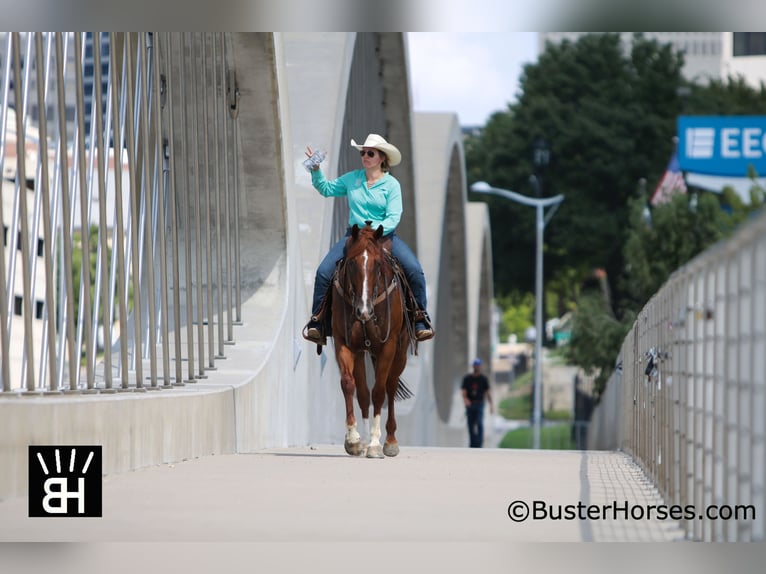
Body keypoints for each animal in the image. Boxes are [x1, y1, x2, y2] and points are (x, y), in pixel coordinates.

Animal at [332, 224, 414, 460]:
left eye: (377, 264)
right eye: (352, 263)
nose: (364, 310)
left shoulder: (388, 345)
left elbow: (379, 391)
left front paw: (376, 444)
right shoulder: (344, 343)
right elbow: (351, 385)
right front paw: (354, 440)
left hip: (400, 351)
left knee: (390, 385)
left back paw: (390, 441)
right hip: (362, 352)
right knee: (363, 393)